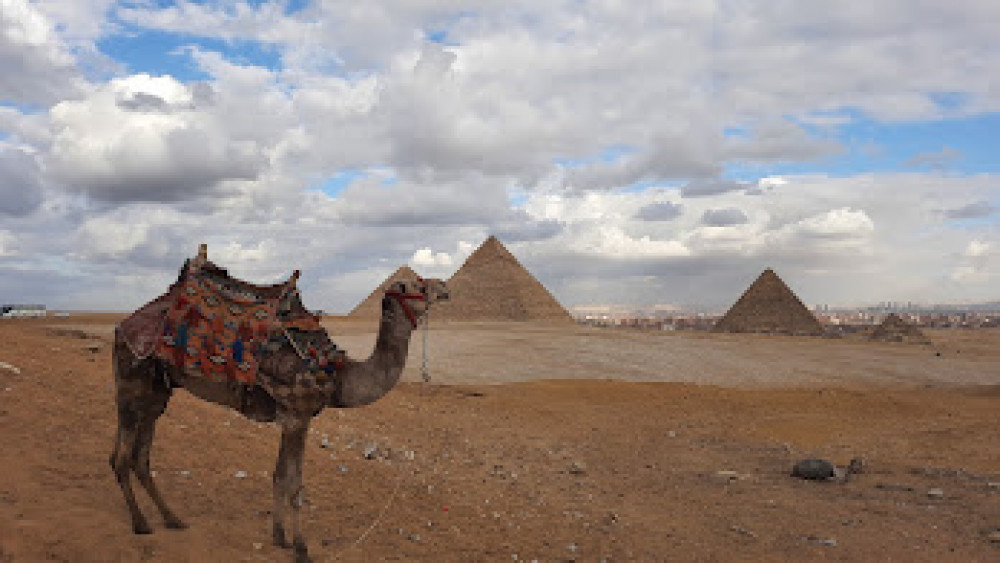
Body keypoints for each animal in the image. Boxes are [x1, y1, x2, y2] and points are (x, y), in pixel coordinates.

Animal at [108, 248, 446, 563]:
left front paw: (280, 537)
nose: (444, 287)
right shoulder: (298, 415)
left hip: (158, 391)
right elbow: (295, 485)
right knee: (122, 457)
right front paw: (301, 548)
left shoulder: (290, 418)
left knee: (140, 457)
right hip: (132, 379)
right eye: (417, 284)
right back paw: (140, 523)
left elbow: (280, 476)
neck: (337, 373)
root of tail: (125, 323)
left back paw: (172, 519)